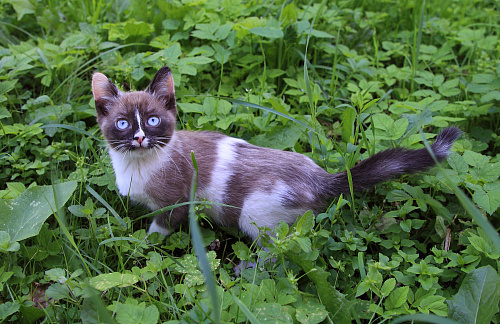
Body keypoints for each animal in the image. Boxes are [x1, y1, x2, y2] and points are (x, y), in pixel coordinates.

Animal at [93, 66, 460, 240]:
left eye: (154, 120)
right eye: (123, 123)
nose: (140, 137)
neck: (138, 165)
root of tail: (320, 177)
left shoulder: (178, 202)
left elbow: (159, 229)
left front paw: (145, 244)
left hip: (255, 215)